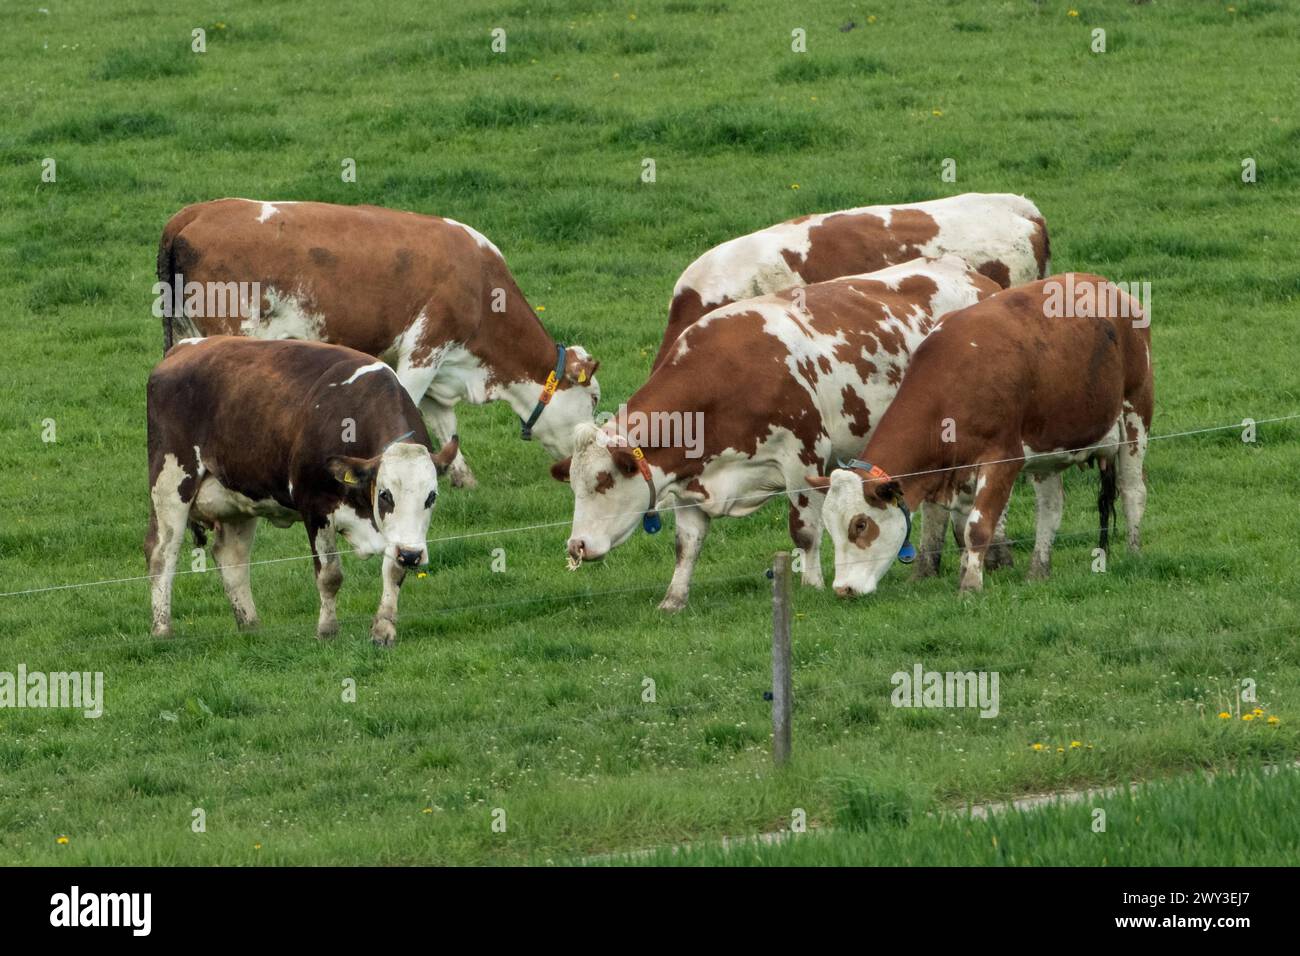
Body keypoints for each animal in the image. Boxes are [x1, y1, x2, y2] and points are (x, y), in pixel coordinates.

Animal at [145, 338, 460, 650]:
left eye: (431, 497)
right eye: (385, 494)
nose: (412, 555)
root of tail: (186, 347)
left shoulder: (401, 535)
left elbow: (393, 571)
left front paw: (383, 630)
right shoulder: (316, 507)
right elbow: (330, 575)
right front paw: (327, 631)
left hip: (238, 497)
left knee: (231, 557)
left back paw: (250, 626)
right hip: (170, 481)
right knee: (162, 553)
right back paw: (162, 630)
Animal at [156, 199, 598, 489]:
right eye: (594, 399)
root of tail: (193, 213)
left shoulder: (440, 363)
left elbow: (444, 422)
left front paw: (461, 478)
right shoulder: (425, 346)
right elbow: (410, 406)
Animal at [553, 256, 998, 613]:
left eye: (603, 482)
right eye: (574, 486)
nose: (575, 546)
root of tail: (974, 276)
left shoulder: (803, 458)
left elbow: (804, 531)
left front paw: (812, 584)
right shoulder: (690, 480)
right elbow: (686, 545)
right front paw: (673, 600)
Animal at [811, 270, 1159, 598]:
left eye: (860, 524)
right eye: (830, 528)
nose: (843, 589)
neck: (952, 383)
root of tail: (1106, 286)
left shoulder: (1003, 459)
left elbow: (977, 528)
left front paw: (970, 586)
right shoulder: (960, 470)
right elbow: (963, 526)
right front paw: (967, 572)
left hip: (1135, 413)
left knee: (1132, 490)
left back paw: (1134, 553)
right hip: (1047, 450)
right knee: (1050, 508)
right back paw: (1038, 570)